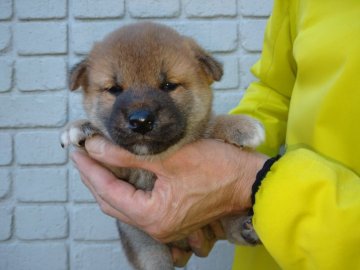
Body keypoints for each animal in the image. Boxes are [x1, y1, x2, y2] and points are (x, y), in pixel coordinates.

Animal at [61, 22, 264, 268]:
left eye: (168, 85)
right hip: (144, 243)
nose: (140, 121)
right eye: (115, 89)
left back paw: (246, 228)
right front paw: (79, 127)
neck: (152, 159)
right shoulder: (117, 169)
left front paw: (239, 125)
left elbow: (210, 124)